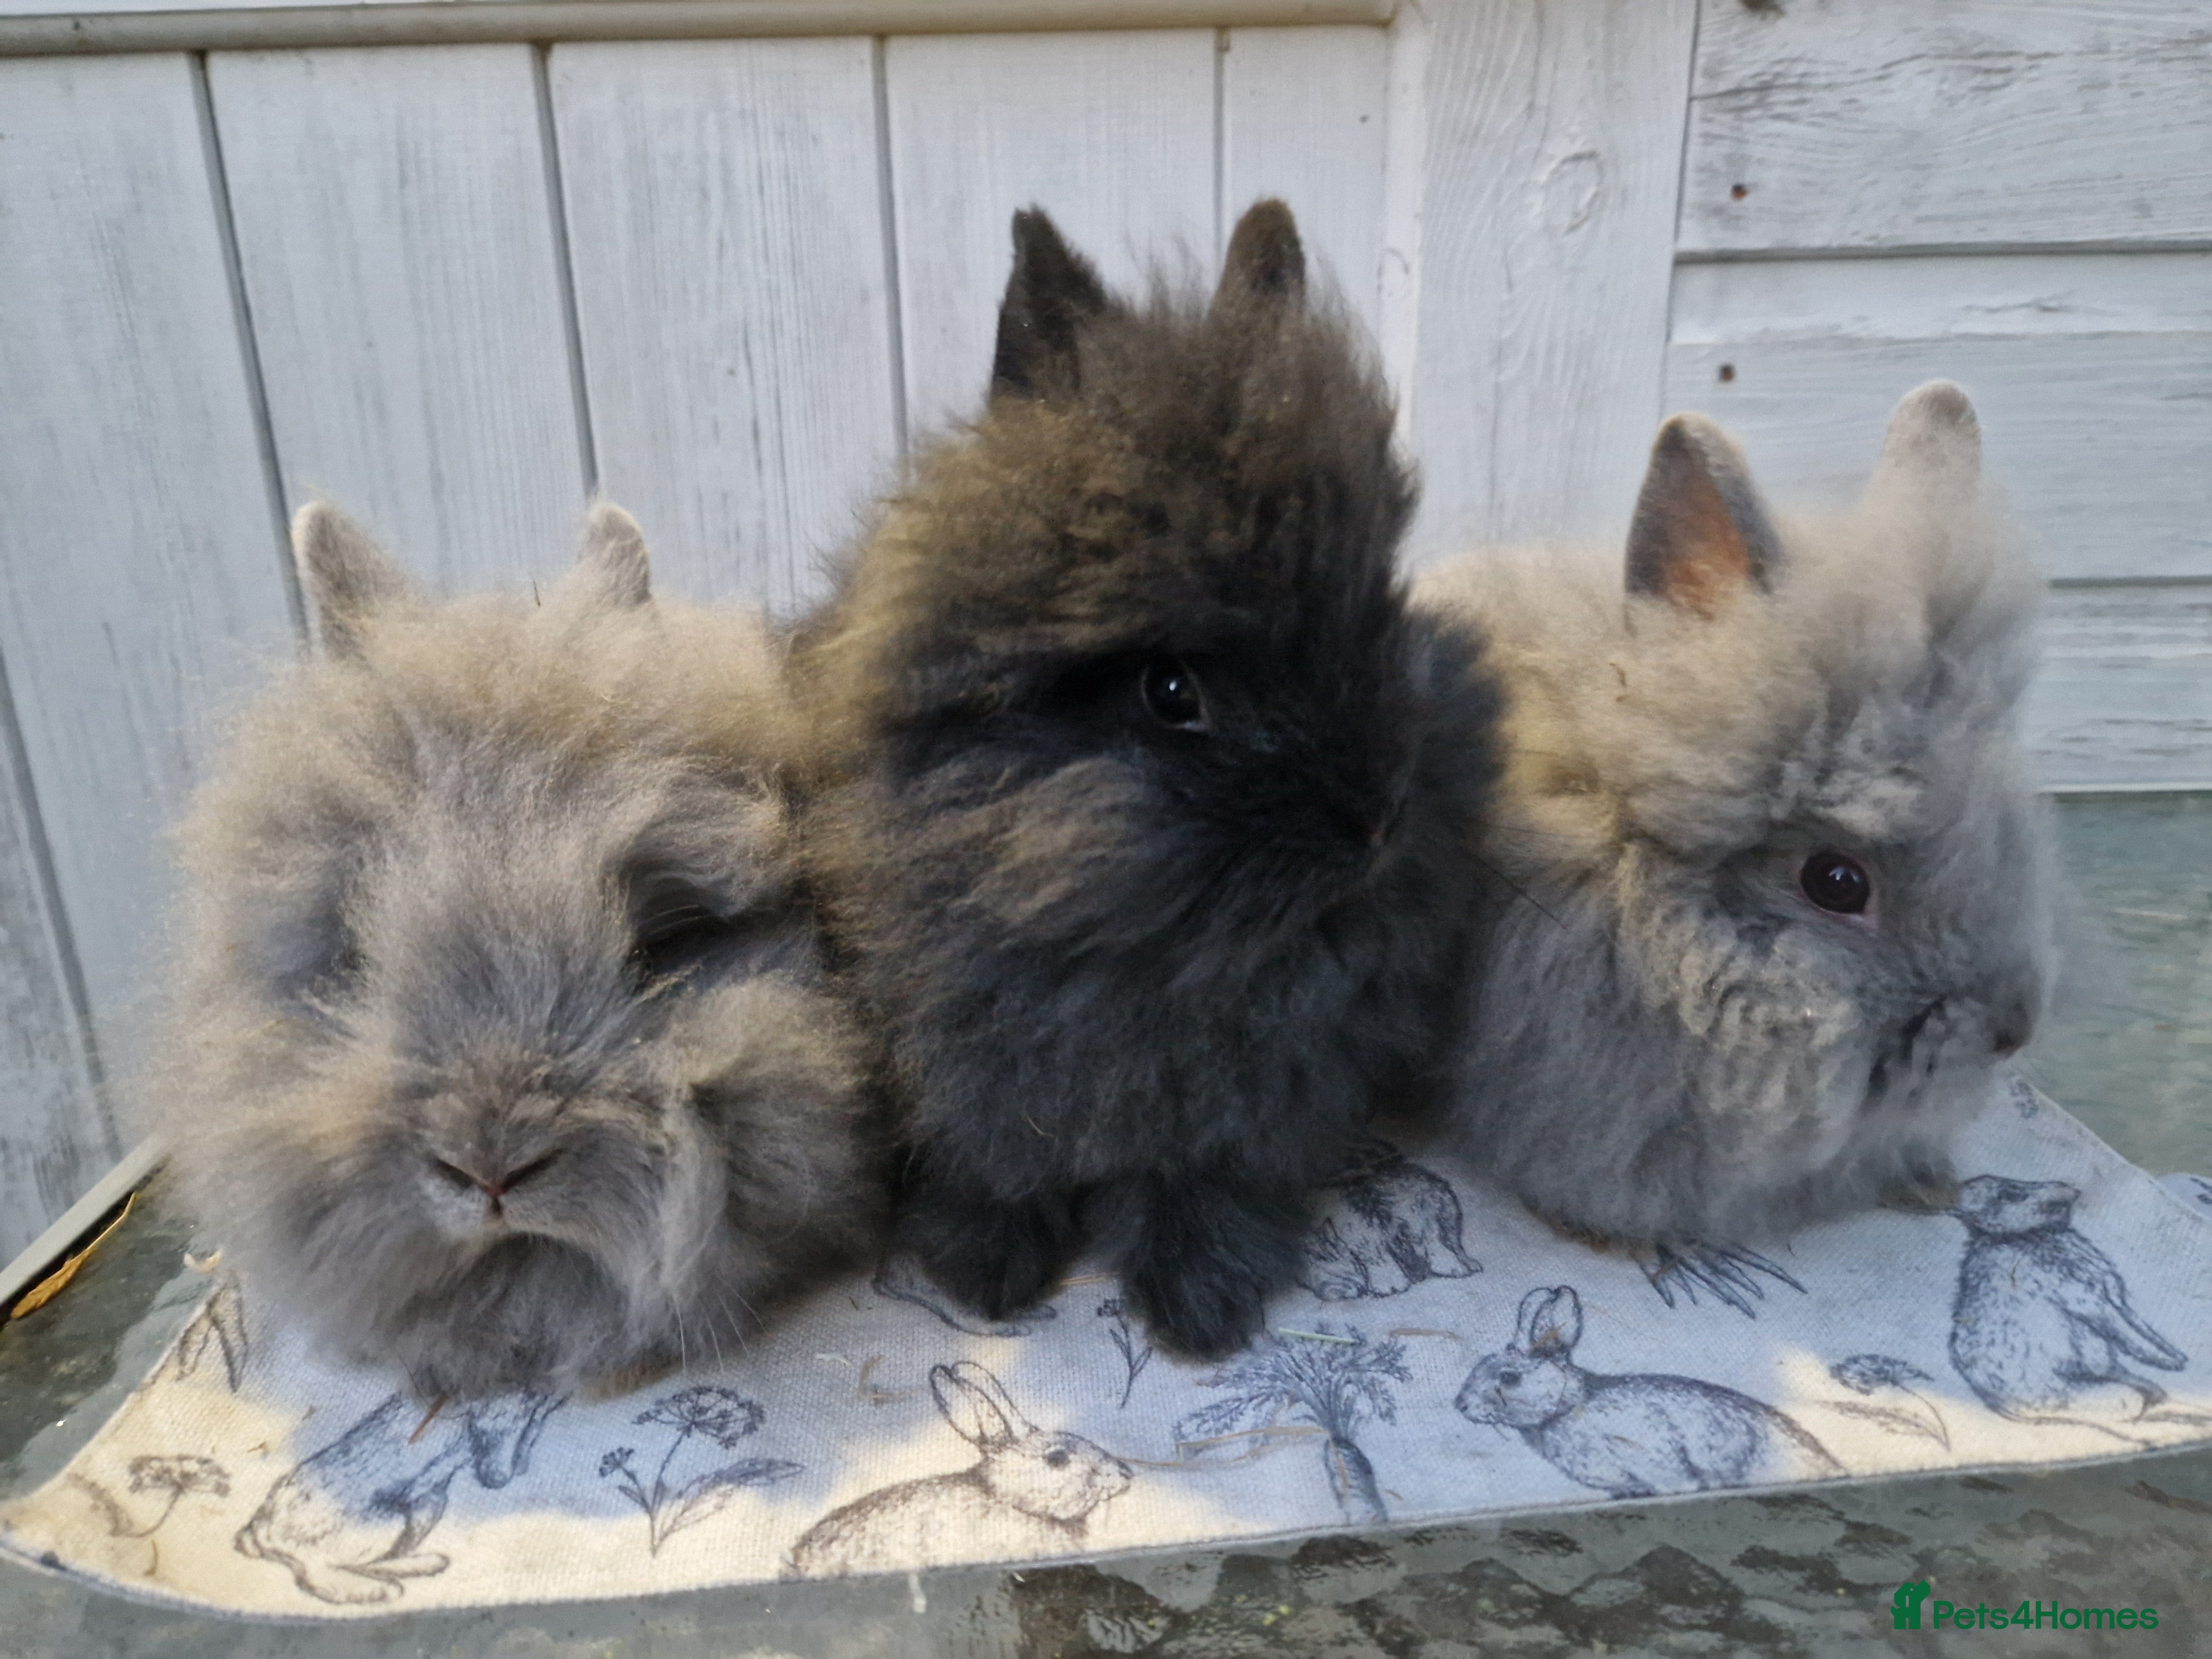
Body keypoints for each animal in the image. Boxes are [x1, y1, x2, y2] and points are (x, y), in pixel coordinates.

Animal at [235, 1389, 561, 1605]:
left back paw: (426, 1564)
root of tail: (260, 1526)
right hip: (384, 1522)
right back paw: (382, 1591)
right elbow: (503, 1444)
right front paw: (501, 1474)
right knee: (315, 1571)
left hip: (425, 1509)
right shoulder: (496, 1420)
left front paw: (521, 1463)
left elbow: (531, 1430)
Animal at [796, 199, 1503, 1361]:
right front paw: (986, 1269)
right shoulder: (963, 1052)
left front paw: (1197, 1302)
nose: (1376, 827)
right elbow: (995, 1155)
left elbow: (1204, 1174)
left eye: (1376, 618)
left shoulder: (1257, 1097)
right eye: (1172, 691)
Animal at [1948, 1175, 2194, 1432]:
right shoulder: (2088, 1300)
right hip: (2085, 1393)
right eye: (2011, 1195)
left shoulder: (2114, 1298)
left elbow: (2141, 1329)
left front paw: (2176, 1357)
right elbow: (2128, 1335)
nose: (2069, 1190)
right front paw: (2173, 1363)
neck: (2024, 1235)